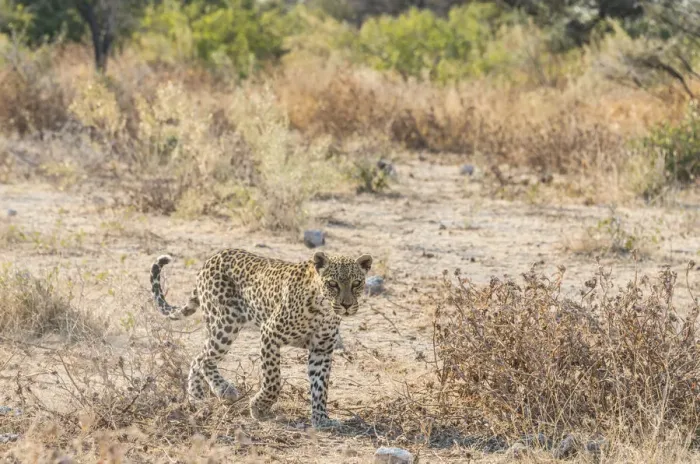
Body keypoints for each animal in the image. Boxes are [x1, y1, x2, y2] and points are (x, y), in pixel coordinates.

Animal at [149, 248, 372, 429]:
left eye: (357, 283)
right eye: (333, 284)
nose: (346, 305)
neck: (323, 310)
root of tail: (210, 259)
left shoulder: (322, 349)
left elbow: (320, 387)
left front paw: (321, 419)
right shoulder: (270, 333)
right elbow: (273, 380)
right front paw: (259, 408)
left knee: (197, 358)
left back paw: (197, 397)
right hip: (225, 323)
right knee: (204, 358)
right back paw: (224, 390)